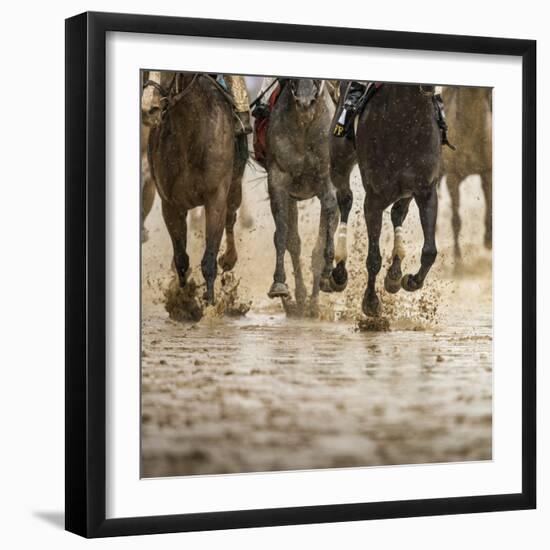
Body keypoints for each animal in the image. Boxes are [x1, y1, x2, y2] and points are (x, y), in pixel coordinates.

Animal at [148, 71, 249, 304]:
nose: (150, 107)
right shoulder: (170, 204)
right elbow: (181, 258)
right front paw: (182, 298)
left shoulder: (216, 199)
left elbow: (209, 258)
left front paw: (209, 304)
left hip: (235, 188)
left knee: (231, 219)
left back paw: (229, 258)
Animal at [266, 77, 338, 314]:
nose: (305, 102)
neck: (305, 124)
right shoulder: (278, 180)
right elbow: (283, 234)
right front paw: (280, 284)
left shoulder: (328, 179)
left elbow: (326, 228)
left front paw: (327, 274)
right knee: (293, 242)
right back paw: (298, 300)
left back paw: (313, 303)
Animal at [332, 81, 444, 314]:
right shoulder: (373, 200)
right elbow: (374, 258)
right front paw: (371, 301)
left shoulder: (426, 191)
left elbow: (430, 251)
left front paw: (410, 280)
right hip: (339, 161)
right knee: (345, 199)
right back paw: (339, 271)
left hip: (406, 192)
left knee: (398, 213)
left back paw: (394, 273)